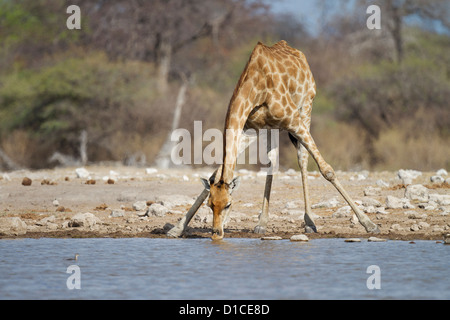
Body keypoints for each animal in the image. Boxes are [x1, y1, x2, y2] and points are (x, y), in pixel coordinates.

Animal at [167, 40, 378, 239]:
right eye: (211, 205)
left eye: (229, 204)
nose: (216, 233)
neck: (256, 86)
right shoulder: (248, 128)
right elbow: (214, 175)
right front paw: (177, 229)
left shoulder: (293, 120)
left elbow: (327, 171)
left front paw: (369, 224)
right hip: (270, 128)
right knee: (272, 162)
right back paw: (262, 223)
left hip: (306, 108)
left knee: (302, 159)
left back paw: (310, 222)